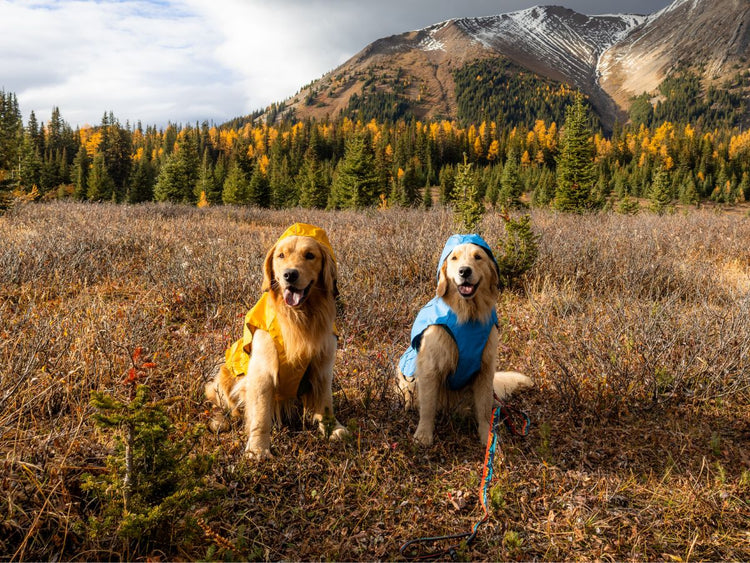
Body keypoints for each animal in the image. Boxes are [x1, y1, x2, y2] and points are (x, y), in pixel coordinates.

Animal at [203, 223, 350, 460]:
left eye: (310, 255)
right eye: (281, 255)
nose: (289, 274)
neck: (299, 317)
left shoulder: (323, 365)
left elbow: (326, 402)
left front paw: (332, 428)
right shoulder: (263, 371)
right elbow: (261, 415)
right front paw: (257, 448)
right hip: (224, 378)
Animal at [400, 234, 536, 446]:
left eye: (478, 257)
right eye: (454, 258)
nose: (464, 271)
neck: (467, 315)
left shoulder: (484, 370)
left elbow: (483, 409)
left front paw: (487, 436)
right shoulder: (430, 368)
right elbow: (428, 406)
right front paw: (423, 435)